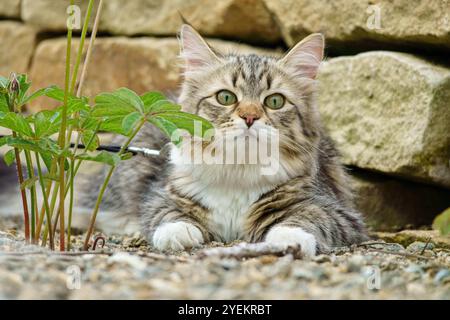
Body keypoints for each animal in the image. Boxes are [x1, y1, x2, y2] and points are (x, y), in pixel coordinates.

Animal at [82, 25, 368, 258]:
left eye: (275, 101)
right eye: (226, 97)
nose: (250, 117)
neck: (238, 170)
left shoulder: (340, 212)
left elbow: (309, 216)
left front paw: (288, 236)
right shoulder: (160, 194)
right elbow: (166, 214)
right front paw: (177, 231)